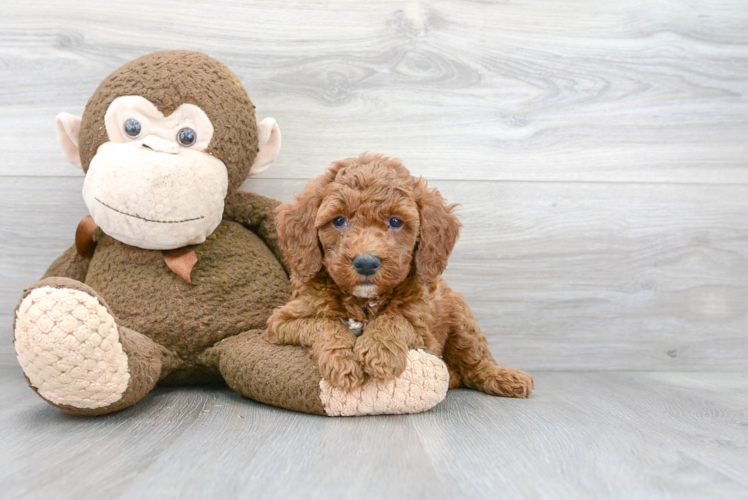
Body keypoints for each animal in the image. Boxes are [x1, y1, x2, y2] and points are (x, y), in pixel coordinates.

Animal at [266, 152, 536, 398]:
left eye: (395, 222)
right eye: (339, 221)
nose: (366, 263)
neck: (364, 301)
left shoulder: (424, 333)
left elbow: (394, 319)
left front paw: (379, 353)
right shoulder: (282, 321)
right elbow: (324, 323)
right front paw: (343, 362)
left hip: (461, 317)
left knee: (476, 362)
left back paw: (506, 378)